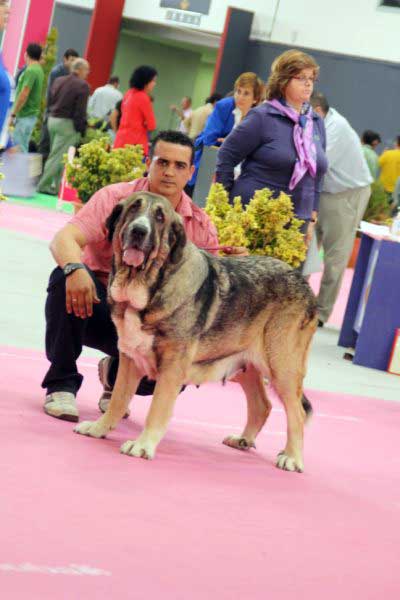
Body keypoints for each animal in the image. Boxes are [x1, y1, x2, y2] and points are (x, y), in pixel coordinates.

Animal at [75, 192, 318, 474]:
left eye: (160, 217)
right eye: (133, 208)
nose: (138, 230)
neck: (149, 284)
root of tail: (303, 282)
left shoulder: (171, 367)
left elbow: (157, 409)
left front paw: (142, 445)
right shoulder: (130, 360)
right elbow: (117, 400)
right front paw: (99, 428)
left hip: (281, 366)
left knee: (297, 413)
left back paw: (292, 457)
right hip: (246, 364)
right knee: (262, 405)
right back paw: (243, 439)